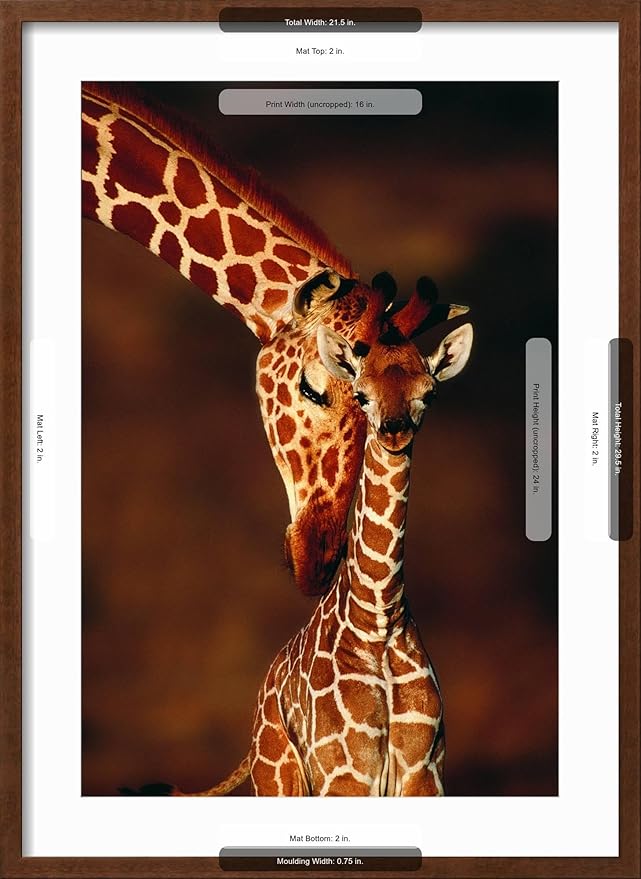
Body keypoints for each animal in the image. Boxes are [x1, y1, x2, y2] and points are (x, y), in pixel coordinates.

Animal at [169, 296, 473, 797]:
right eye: (361, 394)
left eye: (428, 393)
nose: (394, 430)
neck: (379, 619)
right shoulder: (344, 774)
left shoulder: (424, 772)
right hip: (279, 778)